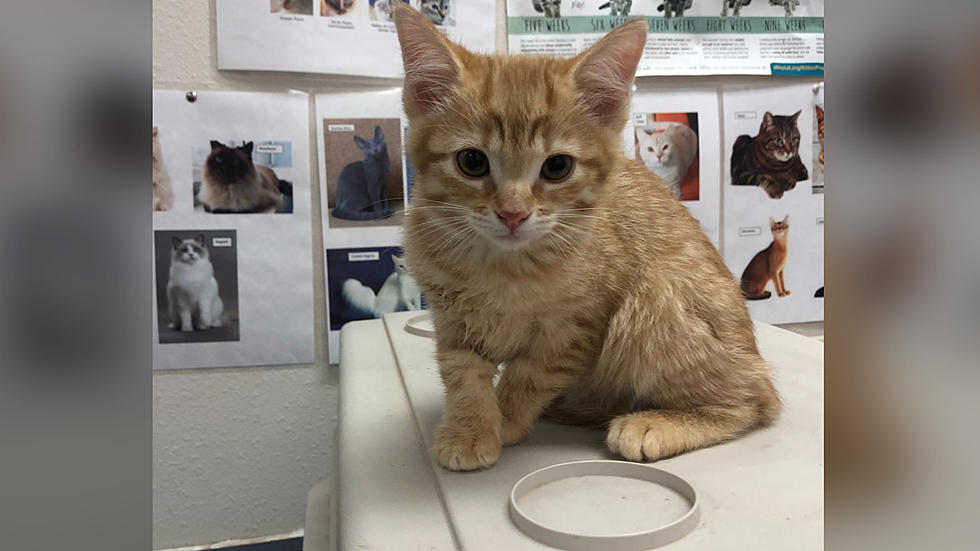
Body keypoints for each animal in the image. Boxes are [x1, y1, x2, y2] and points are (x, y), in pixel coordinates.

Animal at [390, 6, 780, 472]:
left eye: (557, 167)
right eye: (471, 161)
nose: (513, 214)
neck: (506, 265)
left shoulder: (579, 325)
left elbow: (531, 374)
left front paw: (506, 419)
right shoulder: (449, 314)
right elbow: (461, 369)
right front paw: (470, 427)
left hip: (655, 302)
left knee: (752, 402)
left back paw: (656, 422)